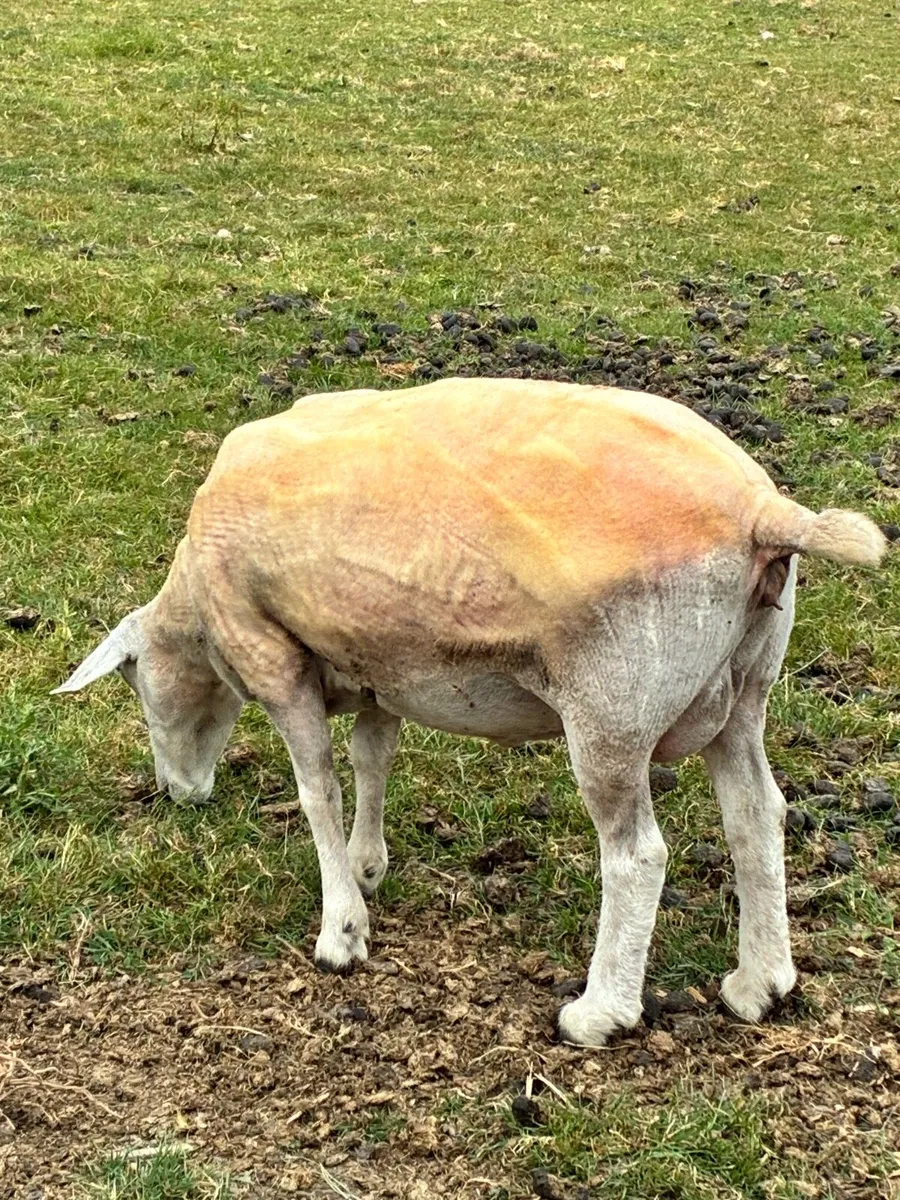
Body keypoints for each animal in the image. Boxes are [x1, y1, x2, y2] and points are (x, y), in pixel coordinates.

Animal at [53, 377, 885, 1046]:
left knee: (637, 856)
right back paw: (761, 983)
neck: (198, 604)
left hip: (611, 702)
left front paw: (340, 931)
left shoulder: (272, 656)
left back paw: (599, 1013)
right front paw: (367, 866)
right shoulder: (385, 662)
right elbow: (372, 757)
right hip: (745, 687)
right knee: (756, 815)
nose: (178, 794)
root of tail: (763, 511)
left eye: (138, 686)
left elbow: (319, 788)